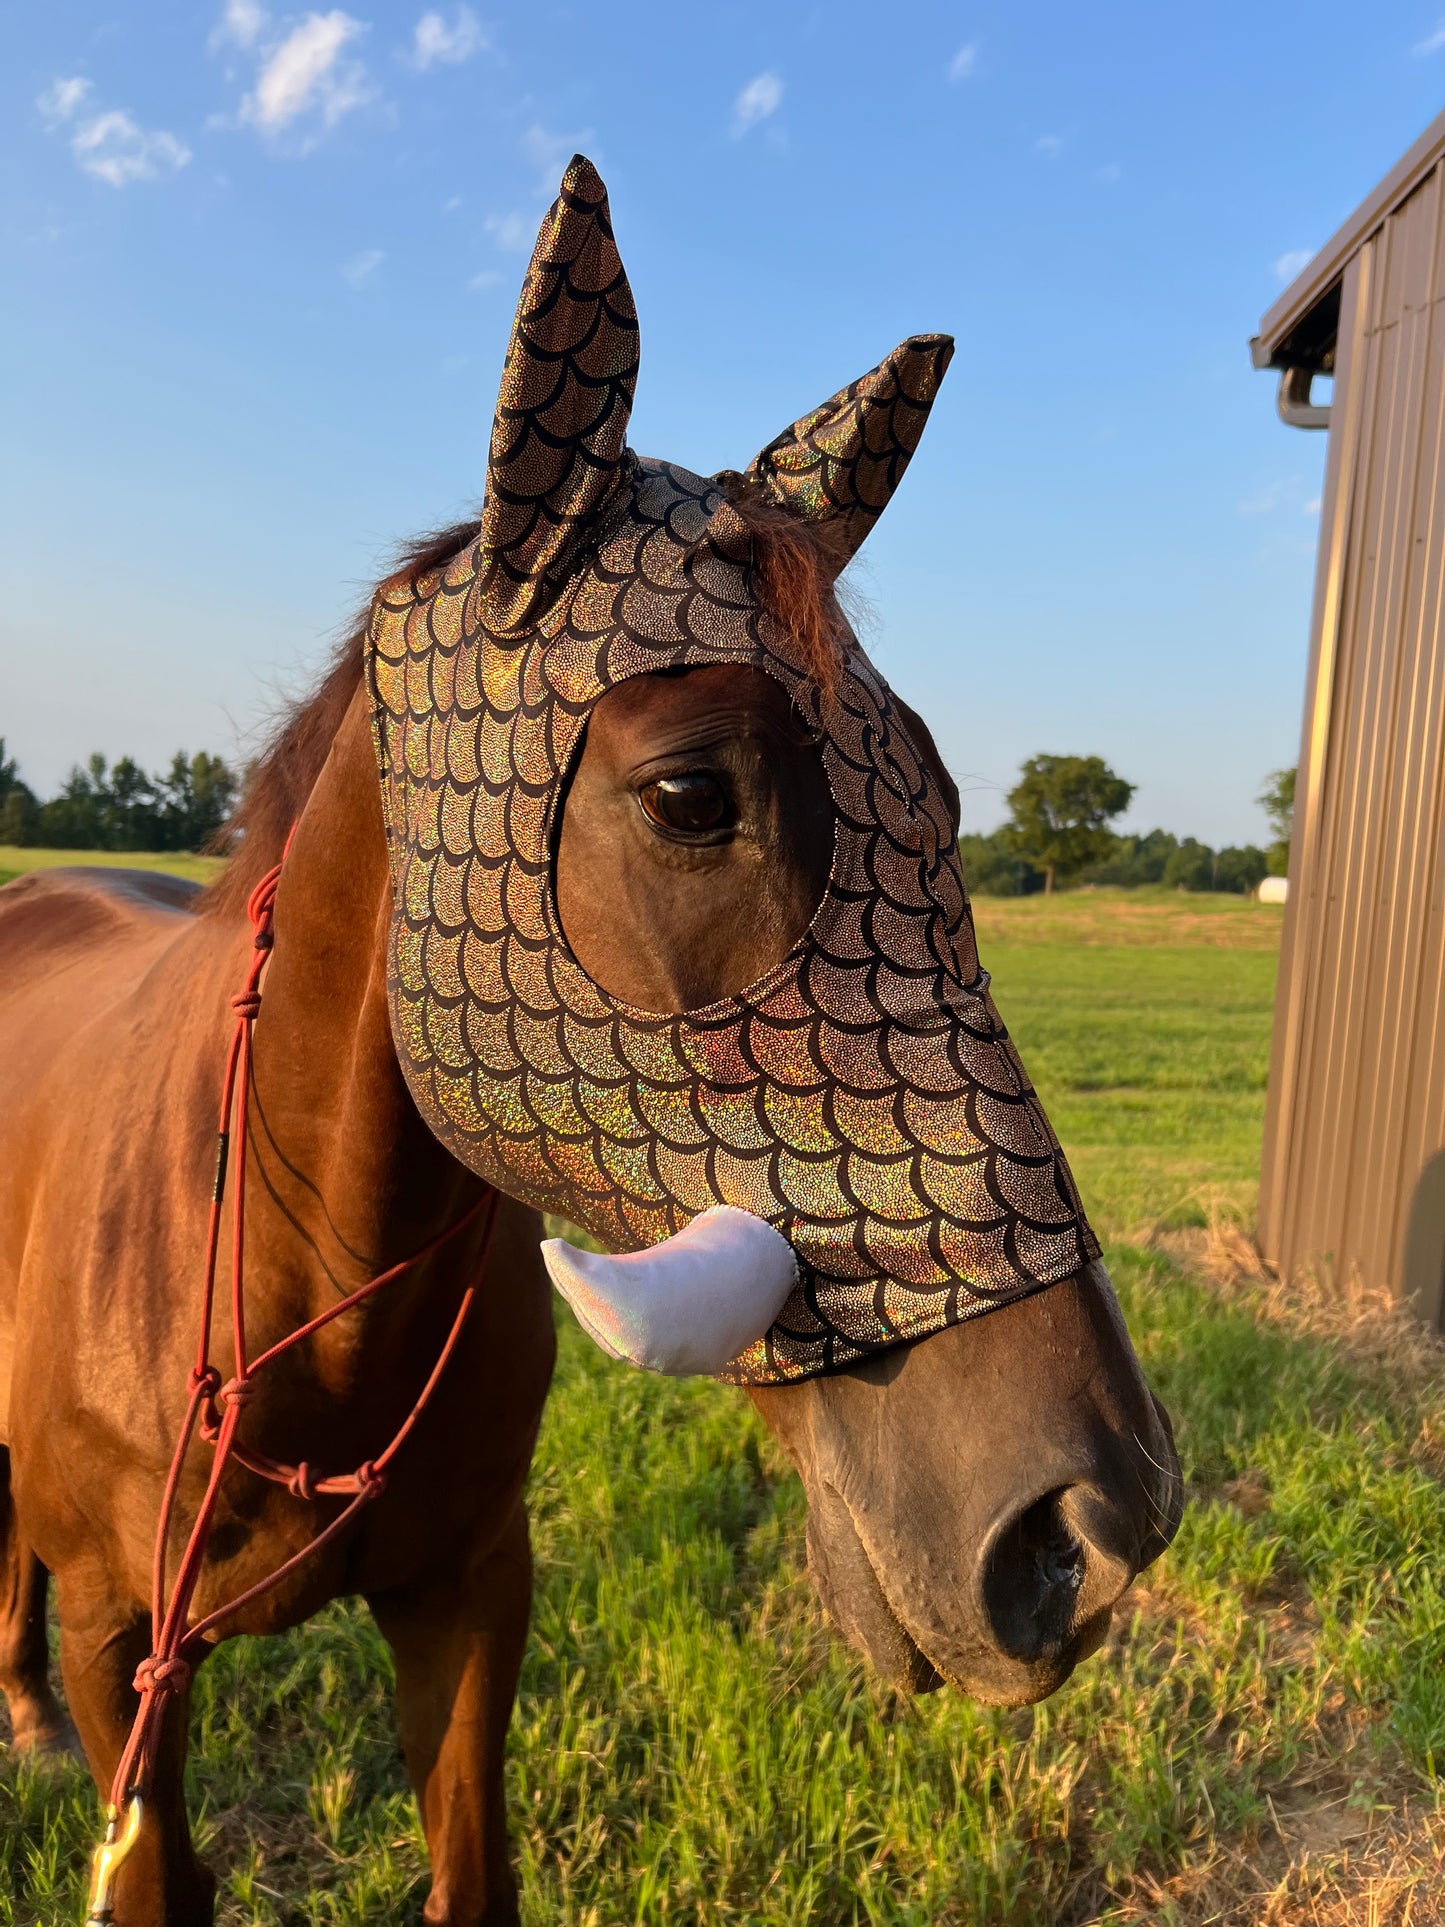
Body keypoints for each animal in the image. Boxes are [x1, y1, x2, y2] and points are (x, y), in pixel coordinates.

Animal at [0, 157, 1182, 1925]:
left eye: (942, 792)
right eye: (691, 790)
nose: (1100, 1519)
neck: (297, 1282)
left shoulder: (474, 1592)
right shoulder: (124, 1658)